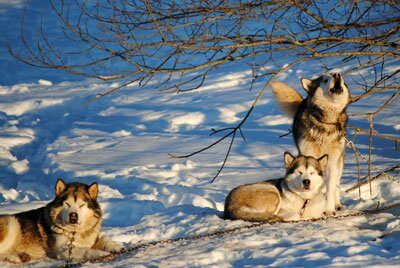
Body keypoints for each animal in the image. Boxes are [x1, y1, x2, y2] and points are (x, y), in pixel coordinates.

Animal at [272, 73, 350, 216]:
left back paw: (337, 204)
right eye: (324, 79)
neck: (325, 123)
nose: (337, 74)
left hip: (340, 163)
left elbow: (331, 188)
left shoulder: (333, 162)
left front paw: (329, 210)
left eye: (341, 76)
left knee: (336, 184)